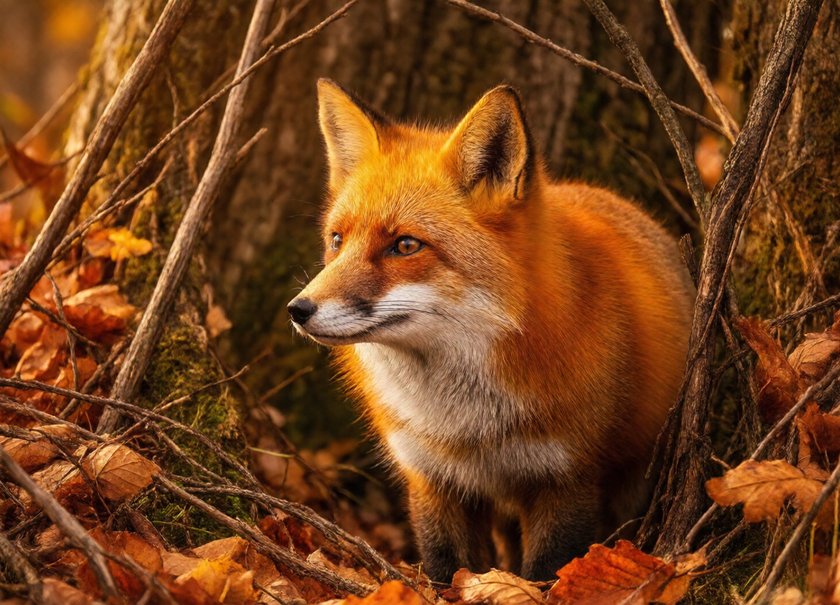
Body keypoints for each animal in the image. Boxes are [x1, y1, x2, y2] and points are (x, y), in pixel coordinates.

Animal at [287, 79, 694, 582]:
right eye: (337, 241)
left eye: (405, 245)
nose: (298, 309)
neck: (468, 426)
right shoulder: (432, 478)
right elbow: (445, 570)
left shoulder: (568, 478)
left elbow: (547, 571)